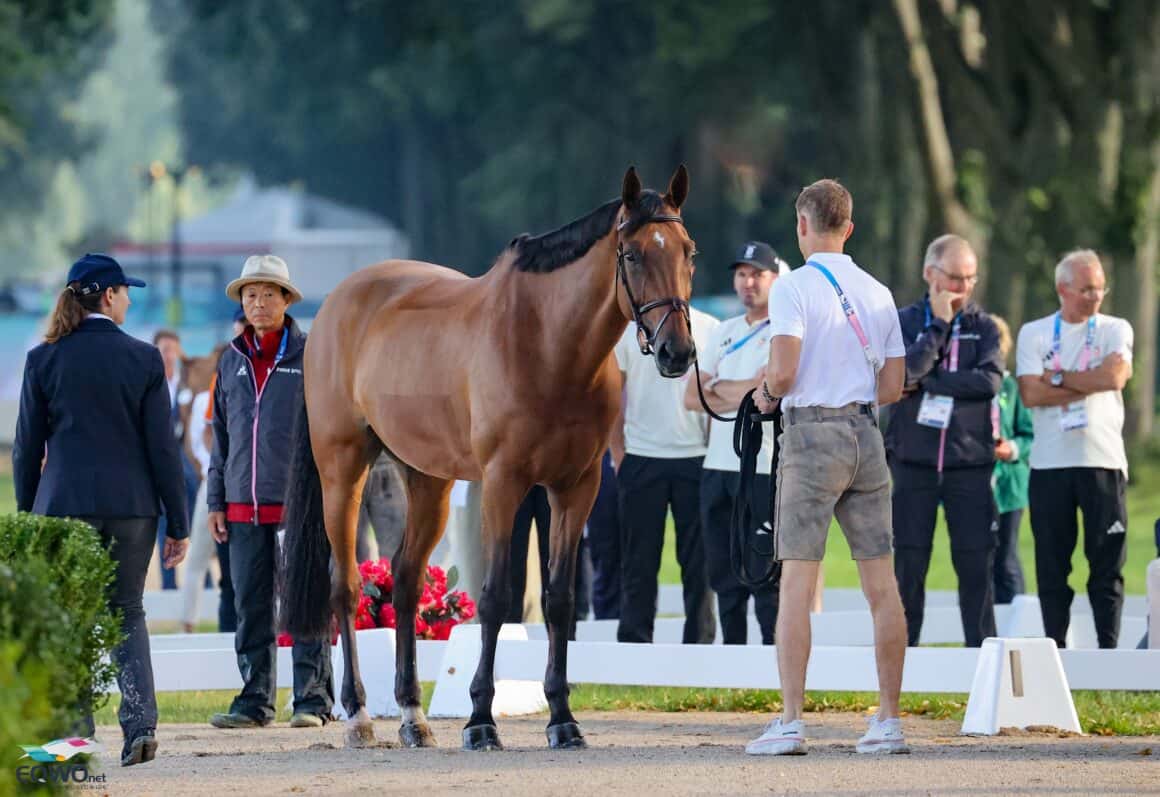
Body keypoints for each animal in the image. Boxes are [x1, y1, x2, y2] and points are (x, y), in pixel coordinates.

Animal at [284, 164, 691, 751]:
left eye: (688, 251)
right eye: (633, 255)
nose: (676, 352)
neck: (549, 344)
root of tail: (333, 306)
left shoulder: (577, 487)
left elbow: (560, 600)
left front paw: (562, 718)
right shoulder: (503, 484)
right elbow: (496, 596)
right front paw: (480, 719)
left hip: (427, 481)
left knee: (405, 582)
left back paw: (413, 717)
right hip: (343, 470)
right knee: (348, 587)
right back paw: (359, 716)